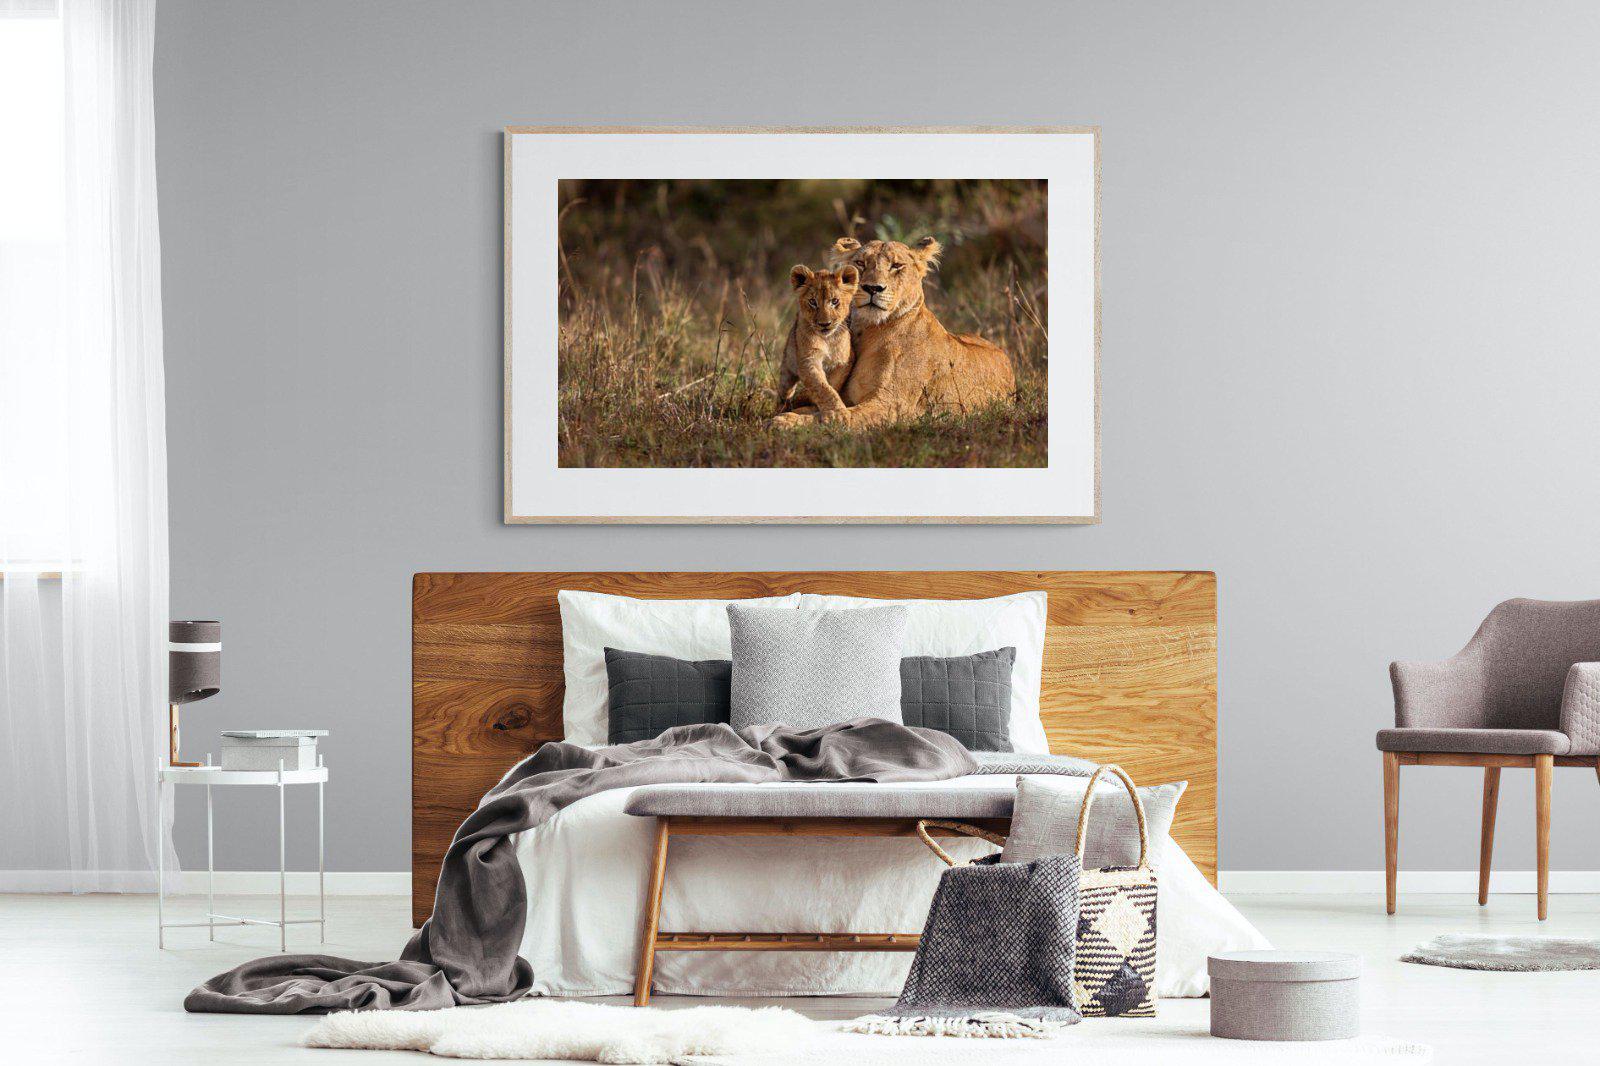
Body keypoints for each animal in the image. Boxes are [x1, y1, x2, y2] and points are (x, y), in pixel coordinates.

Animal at [774, 264, 859, 421]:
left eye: (834, 301)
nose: (825, 324)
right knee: (784, 392)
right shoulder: (808, 360)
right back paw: (781, 408)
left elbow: (832, 384)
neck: (827, 339)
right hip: (787, 368)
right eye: (813, 302)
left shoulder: (845, 360)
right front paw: (837, 413)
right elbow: (822, 387)